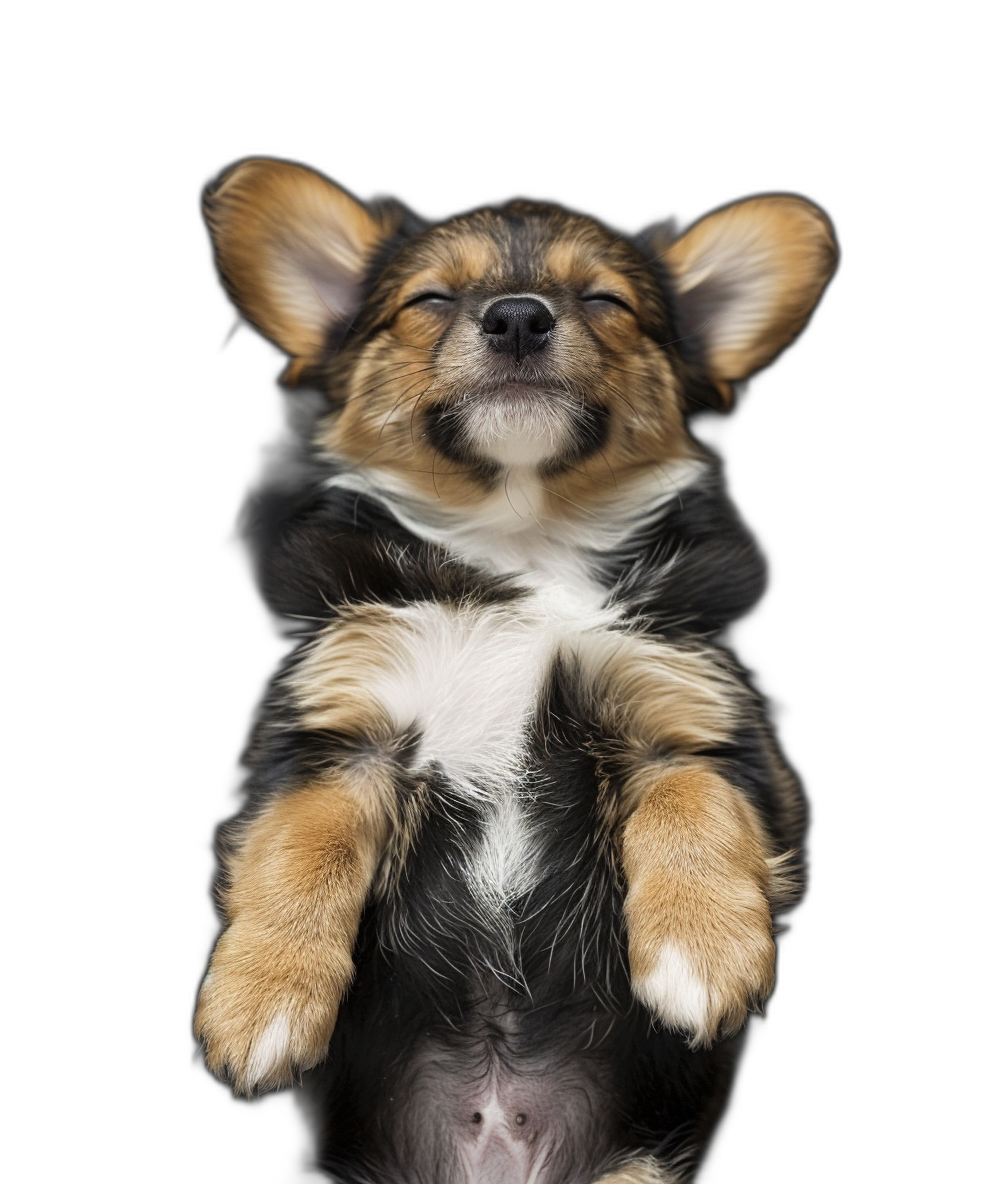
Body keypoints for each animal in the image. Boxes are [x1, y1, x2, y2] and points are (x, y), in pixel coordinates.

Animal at [195, 159, 833, 1184]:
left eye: (607, 301)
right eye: (430, 300)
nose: (520, 318)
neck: (522, 541)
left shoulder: (685, 708)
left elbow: (694, 801)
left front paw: (704, 954)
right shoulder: (345, 729)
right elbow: (299, 846)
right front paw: (259, 1005)